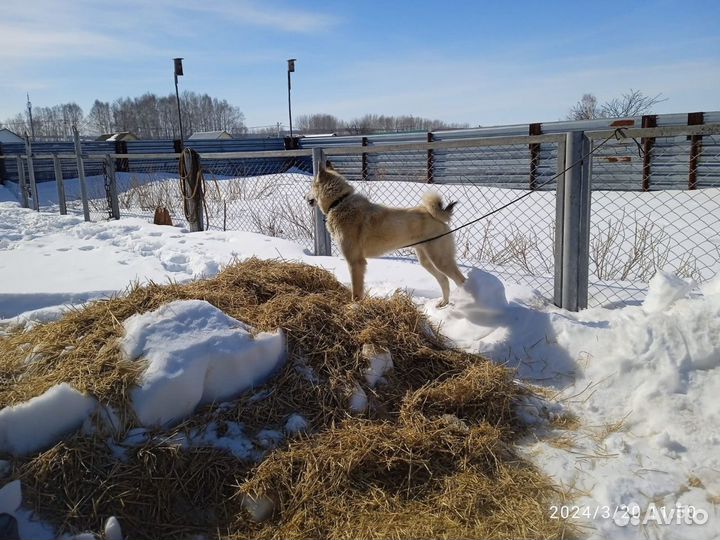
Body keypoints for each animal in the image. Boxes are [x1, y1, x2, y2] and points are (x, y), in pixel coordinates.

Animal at [308, 160, 466, 306]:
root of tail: (435, 215)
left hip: (441, 260)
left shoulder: (355, 262)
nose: (305, 197)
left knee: (461, 280)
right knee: (444, 280)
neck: (339, 202)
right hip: (426, 261)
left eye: (311, 186)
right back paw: (443, 304)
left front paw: (355, 307)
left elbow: (356, 293)